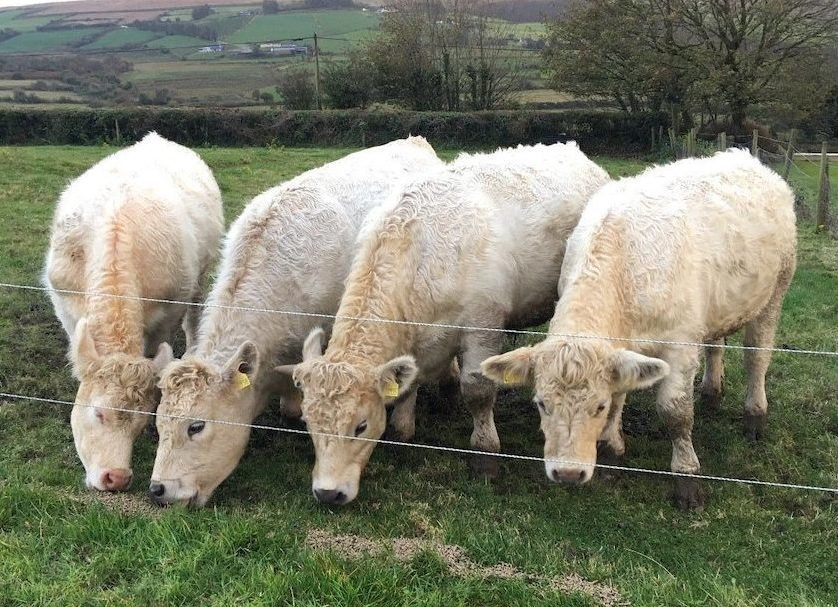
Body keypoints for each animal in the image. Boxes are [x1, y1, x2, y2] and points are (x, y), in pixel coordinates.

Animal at [44, 132, 224, 492]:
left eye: (141, 423)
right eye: (97, 413)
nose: (117, 477)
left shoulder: (168, 310)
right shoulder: (65, 303)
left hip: (200, 278)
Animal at [289, 142, 611, 505]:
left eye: (360, 426)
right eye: (307, 423)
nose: (328, 493)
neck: (423, 255)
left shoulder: (484, 326)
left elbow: (478, 391)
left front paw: (485, 454)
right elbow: (407, 386)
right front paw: (403, 430)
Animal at [481, 149, 797, 510]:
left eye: (598, 407)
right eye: (541, 404)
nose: (568, 473)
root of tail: (745, 157)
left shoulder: (681, 345)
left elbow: (675, 412)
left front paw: (687, 477)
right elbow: (622, 392)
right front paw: (612, 454)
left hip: (775, 293)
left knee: (757, 357)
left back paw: (755, 416)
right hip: (719, 307)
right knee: (716, 344)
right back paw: (711, 392)